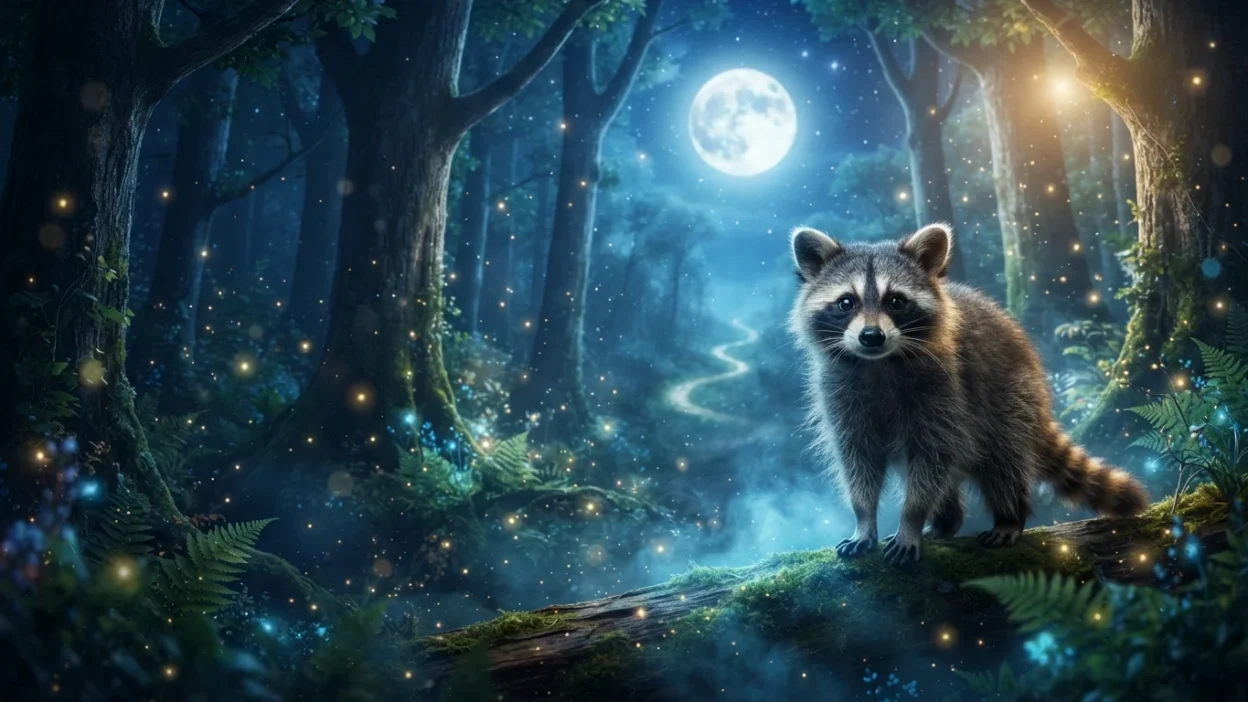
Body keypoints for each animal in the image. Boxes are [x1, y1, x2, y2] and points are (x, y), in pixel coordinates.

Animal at [788, 223, 1147, 566]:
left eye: (896, 301)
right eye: (846, 302)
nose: (871, 336)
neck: (879, 363)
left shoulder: (946, 388)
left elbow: (931, 460)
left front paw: (911, 520)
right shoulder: (840, 398)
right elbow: (858, 463)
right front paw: (863, 521)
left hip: (1011, 398)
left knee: (1004, 461)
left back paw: (1009, 516)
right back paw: (947, 520)